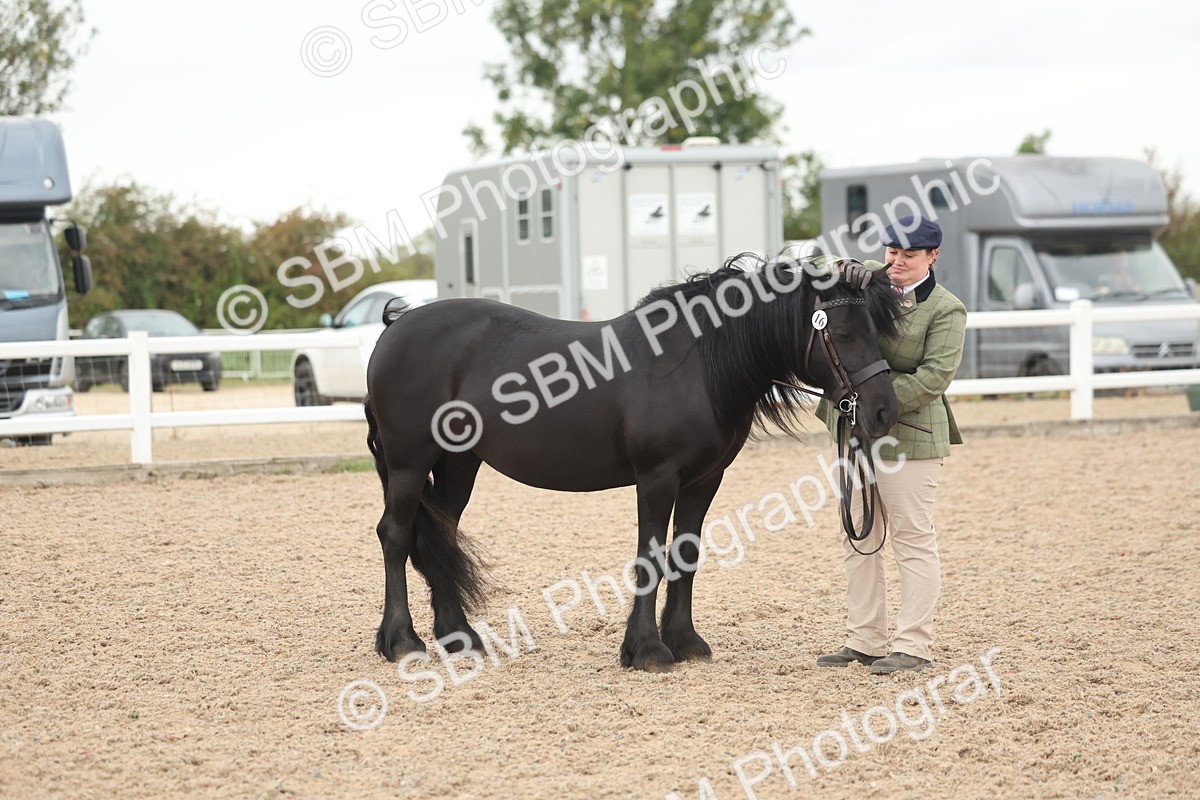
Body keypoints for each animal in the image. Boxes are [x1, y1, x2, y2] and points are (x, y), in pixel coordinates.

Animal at [363, 254, 903, 672]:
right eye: (843, 333)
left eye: (877, 331)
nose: (883, 411)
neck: (695, 363)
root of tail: (395, 327)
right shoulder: (657, 478)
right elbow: (652, 556)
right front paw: (646, 650)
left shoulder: (705, 480)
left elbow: (686, 555)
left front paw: (685, 642)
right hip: (410, 463)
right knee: (396, 535)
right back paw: (402, 641)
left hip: (458, 464)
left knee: (439, 535)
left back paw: (459, 638)